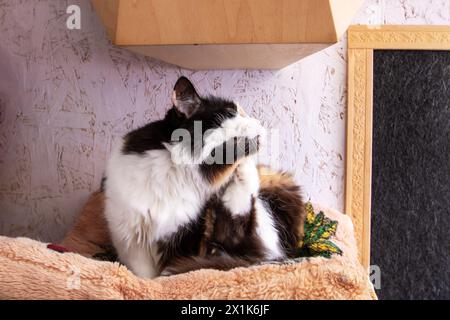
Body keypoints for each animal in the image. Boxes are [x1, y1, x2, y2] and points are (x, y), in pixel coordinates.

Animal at [103, 77, 306, 278]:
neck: (179, 172)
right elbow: (145, 277)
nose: (261, 122)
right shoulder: (133, 242)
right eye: (231, 112)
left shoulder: (186, 236)